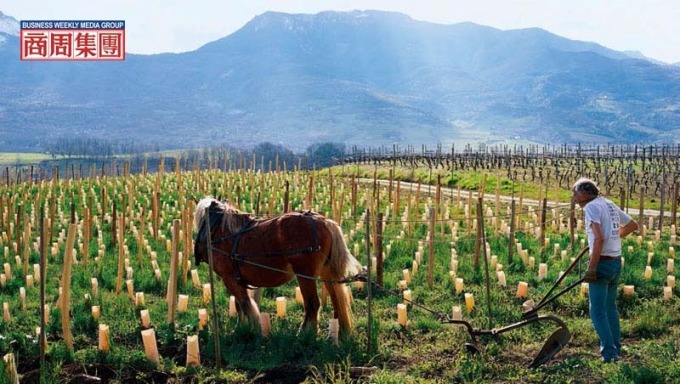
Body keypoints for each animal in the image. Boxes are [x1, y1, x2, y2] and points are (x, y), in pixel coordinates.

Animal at [193, 198, 362, 336]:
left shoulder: (229, 279)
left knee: (313, 303)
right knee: (337, 301)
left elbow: (245, 304)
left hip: (305, 275)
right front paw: (243, 328)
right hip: (326, 273)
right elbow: (240, 304)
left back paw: (305, 335)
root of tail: (324, 221)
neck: (218, 231)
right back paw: (339, 334)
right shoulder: (236, 280)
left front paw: (249, 329)